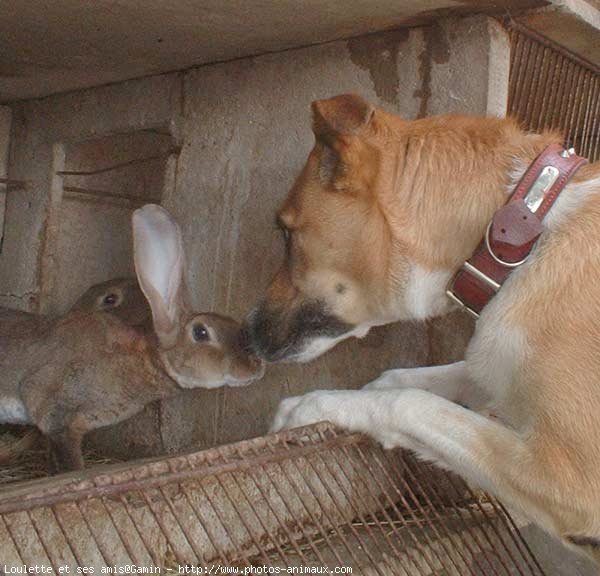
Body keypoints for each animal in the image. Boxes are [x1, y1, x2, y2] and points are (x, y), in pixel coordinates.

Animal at [243, 93, 600, 564]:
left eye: (285, 233)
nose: (245, 337)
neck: (523, 238)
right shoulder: (495, 374)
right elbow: (404, 383)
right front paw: (343, 402)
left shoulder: (570, 479)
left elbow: (410, 402)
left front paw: (310, 406)